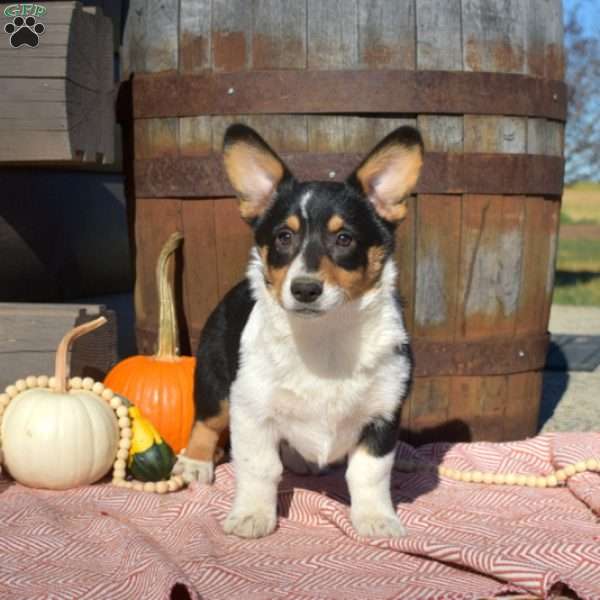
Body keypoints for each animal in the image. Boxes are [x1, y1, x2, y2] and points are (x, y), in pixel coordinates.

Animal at [176, 123, 424, 540]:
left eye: (344, 239)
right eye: (283, 237)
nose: (305, 289)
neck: (324, 335)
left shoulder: (383, 414)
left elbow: (369, 473)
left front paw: (376, 519)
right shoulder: (251, 410)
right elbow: (259, 468)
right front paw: (252, 515)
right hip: (214, 380)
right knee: (206, 422)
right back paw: (195, 462)